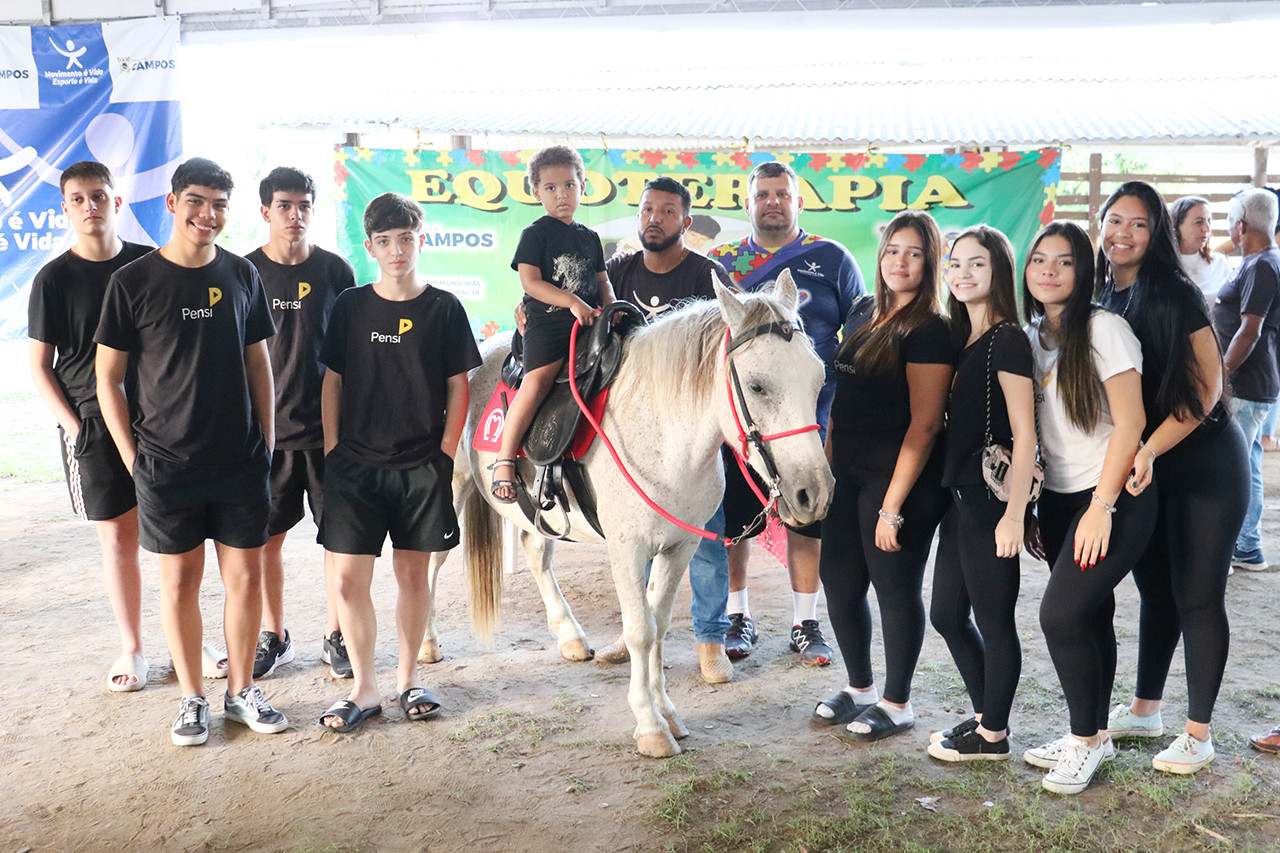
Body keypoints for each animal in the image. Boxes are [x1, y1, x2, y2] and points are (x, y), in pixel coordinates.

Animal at [427, 270, 829, 753]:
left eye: (818, 379)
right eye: (757, 386)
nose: (813, 494)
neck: (665, 432)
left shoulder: (680, 545)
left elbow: (658, 624)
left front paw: (667, 712)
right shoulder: (627, 549)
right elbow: (640, 631)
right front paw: (650, 726)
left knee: (535, 550)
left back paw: (570, 636)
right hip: (453, 488)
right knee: (430, 562)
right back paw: (426, 644)